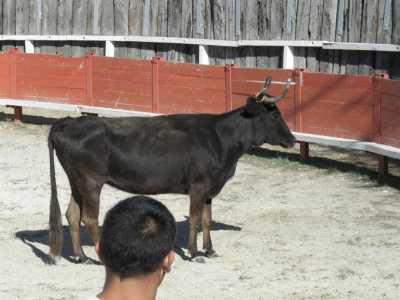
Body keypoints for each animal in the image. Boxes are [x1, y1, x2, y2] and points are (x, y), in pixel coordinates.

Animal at [48, 78, 296, 264]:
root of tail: (69, 123)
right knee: (89, 218)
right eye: (275, 115)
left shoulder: (210, 188)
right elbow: (195, 218)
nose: (292, 140)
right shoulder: (199, 186)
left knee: (72, 214)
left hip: (77, 182)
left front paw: (210, 250)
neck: (220, 138)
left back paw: (81, 257)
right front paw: (194, 253)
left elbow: (207, 219)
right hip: (91, 182)